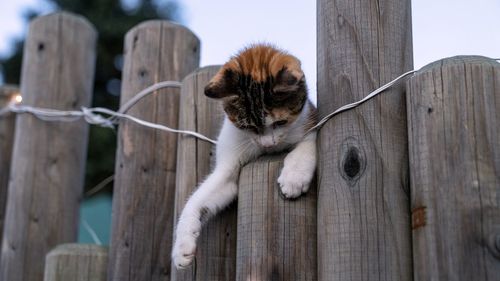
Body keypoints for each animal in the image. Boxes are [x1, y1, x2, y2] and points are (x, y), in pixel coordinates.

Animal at [174, 43, 318, 266]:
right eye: (247, 126)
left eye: (280, 122)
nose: (268, 144)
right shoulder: (229, 163)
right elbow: (198, 198)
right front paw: (182, 246)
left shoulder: (312, 119)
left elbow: (309, 142)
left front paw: (294, 177)